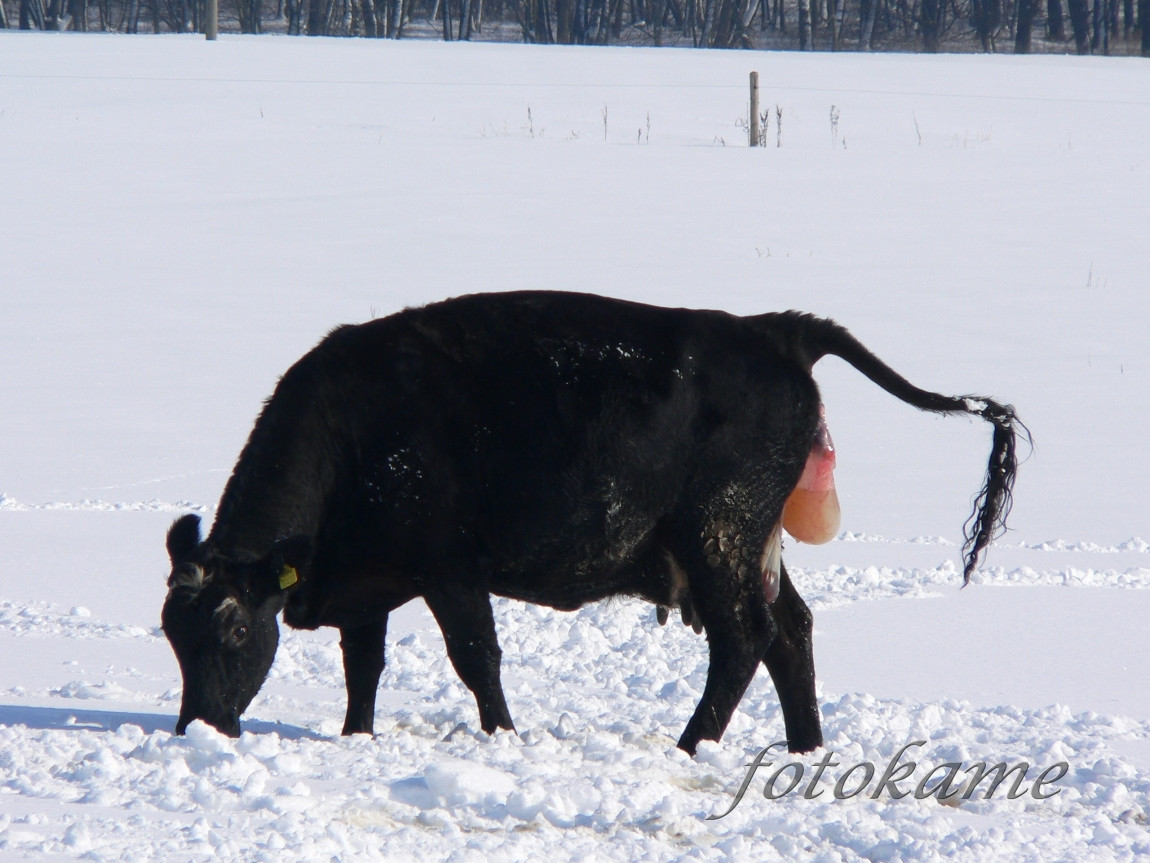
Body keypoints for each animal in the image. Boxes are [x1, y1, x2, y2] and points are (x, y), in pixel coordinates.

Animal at [162, 292, 1025, 754]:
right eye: (173, 633)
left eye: (234, 630)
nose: (198, 726)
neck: (353, 432)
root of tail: (773, 328)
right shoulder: (371, 584)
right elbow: (363, 668)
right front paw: (355, 737)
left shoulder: (450, 570)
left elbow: (476, 658)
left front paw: (502, 735)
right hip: (753, 544)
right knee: (792, 630)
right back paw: (806, 745)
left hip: (718, 535)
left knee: (745, 636)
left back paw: (693, 743)